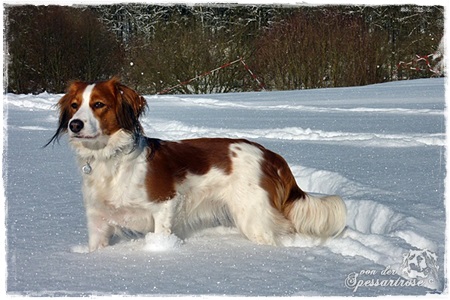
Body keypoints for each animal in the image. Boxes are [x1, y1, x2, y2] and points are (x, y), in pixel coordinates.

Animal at [45, 78, 346, 252]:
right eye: (74, 106)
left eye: (98, 104)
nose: (75, 125)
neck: (112, 159)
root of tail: (268, 153)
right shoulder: (97, 219)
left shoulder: (165, 204)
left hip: (253, 216)